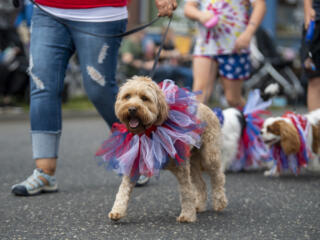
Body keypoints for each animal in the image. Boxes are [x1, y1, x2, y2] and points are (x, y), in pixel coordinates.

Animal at [107, 76, 228, 222]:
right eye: (127, 96)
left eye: (144, 98)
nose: (131, 109)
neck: (150, 131)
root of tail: (205, 106)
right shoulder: (135, 162)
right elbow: (123, 189)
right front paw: (117, 211)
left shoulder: (181, 167)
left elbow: (186, 191)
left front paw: (187, 215)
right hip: (192, 161)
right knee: (201, 184)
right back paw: (199, 206)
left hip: (209, 155)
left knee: (218, 177)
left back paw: (220, 202)